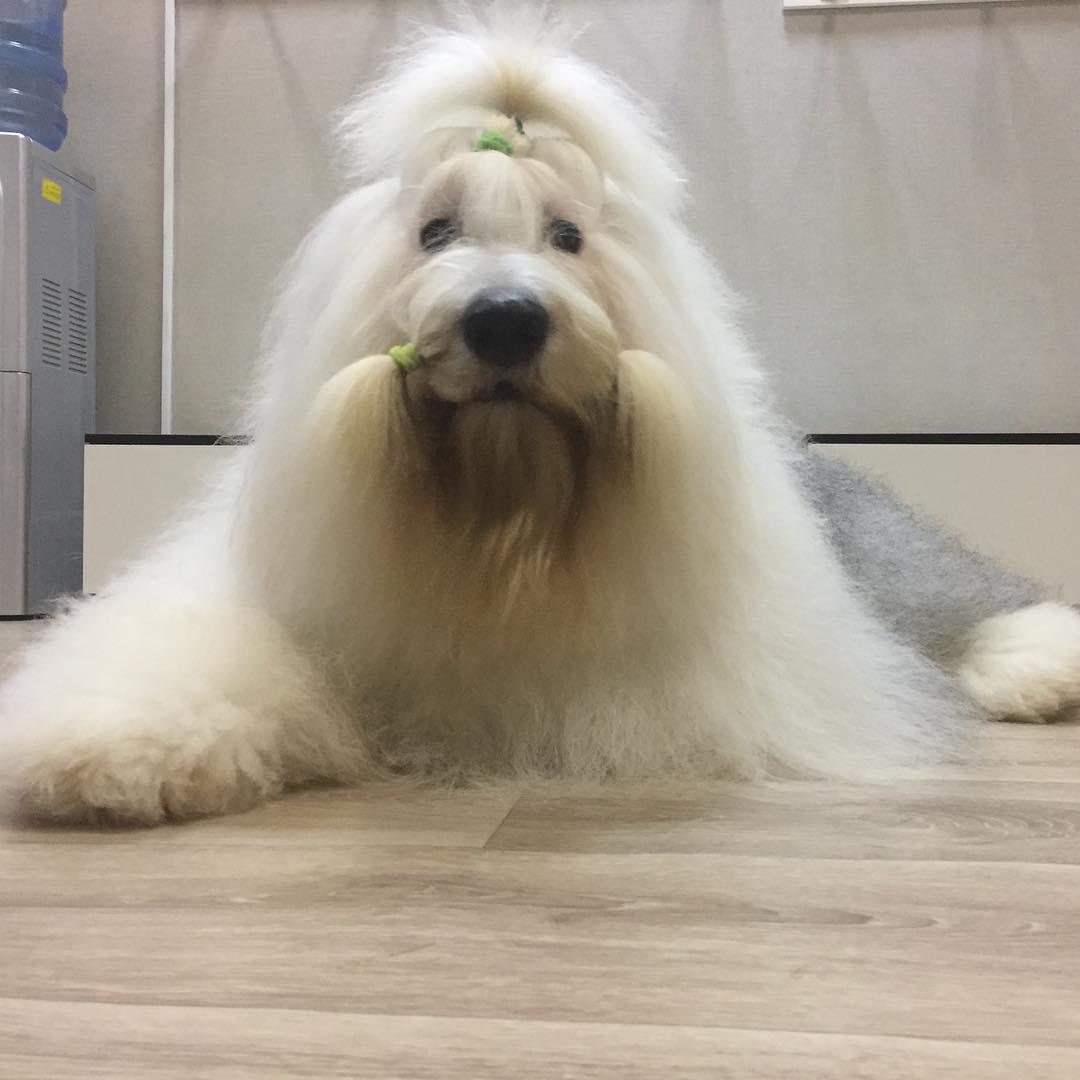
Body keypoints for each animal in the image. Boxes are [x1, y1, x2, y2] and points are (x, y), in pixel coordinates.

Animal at [2, 12, 1080, 820]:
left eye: (568, 235)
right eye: (435, 232)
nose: (506, 319)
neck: (501, 513)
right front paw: (113, 749)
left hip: (891, 567)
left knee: (961, 600)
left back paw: (1038, 668)